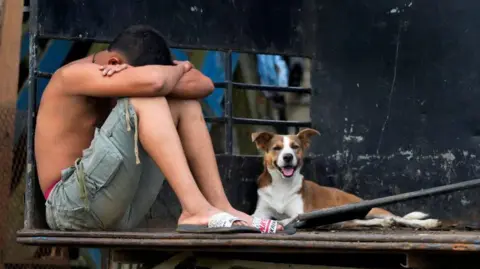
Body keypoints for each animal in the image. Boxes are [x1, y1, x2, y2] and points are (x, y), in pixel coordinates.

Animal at [251, 127, 442, 228]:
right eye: (276, 148)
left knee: (398, 217)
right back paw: (384, 223)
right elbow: (257, 216)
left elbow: (290, 218)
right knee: (362, 221)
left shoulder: (302, 212)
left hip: (368, 208)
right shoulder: (260, 211)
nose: (288, 157)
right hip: (350, 217)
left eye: (295, 147)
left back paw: (428, 223)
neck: (282, 185)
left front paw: (282, 221)